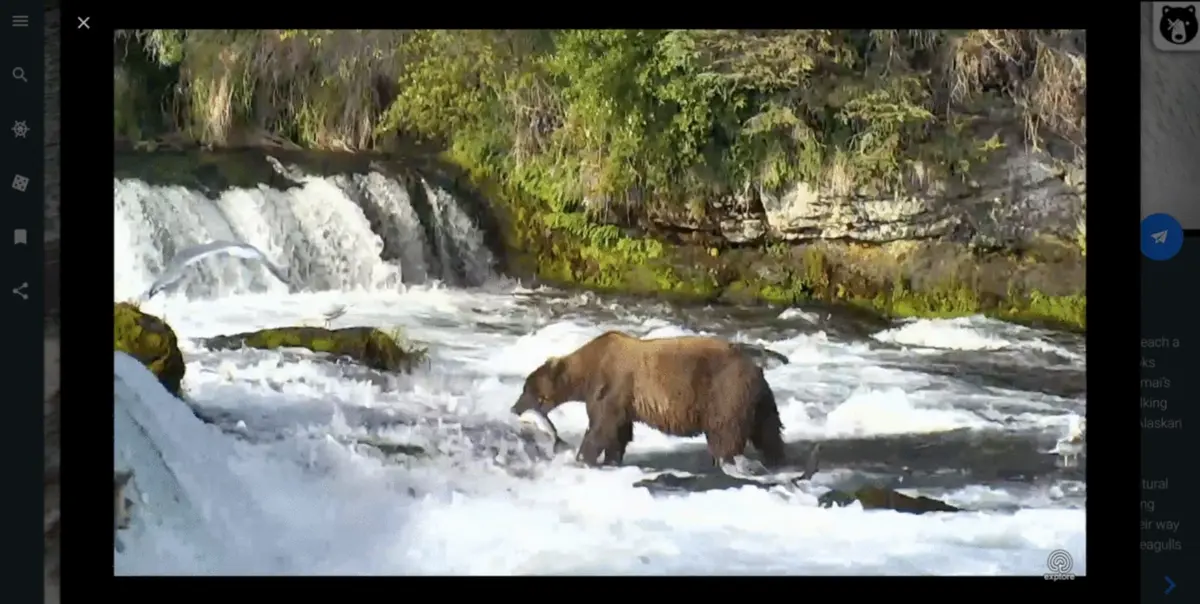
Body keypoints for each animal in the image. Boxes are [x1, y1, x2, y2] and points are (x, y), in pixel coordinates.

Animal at [508, 331, 782, 468]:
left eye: (526, 389)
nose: (514, 408)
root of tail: (756, 368)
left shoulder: (612, 384)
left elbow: (602, 426)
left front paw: (583, 458)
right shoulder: (623, 399)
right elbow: (619, 431)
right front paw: (611, 459)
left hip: (724, 394)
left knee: (725, 436)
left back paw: (724, 461)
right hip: (758, 401)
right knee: (769, 432)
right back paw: (778, 459)